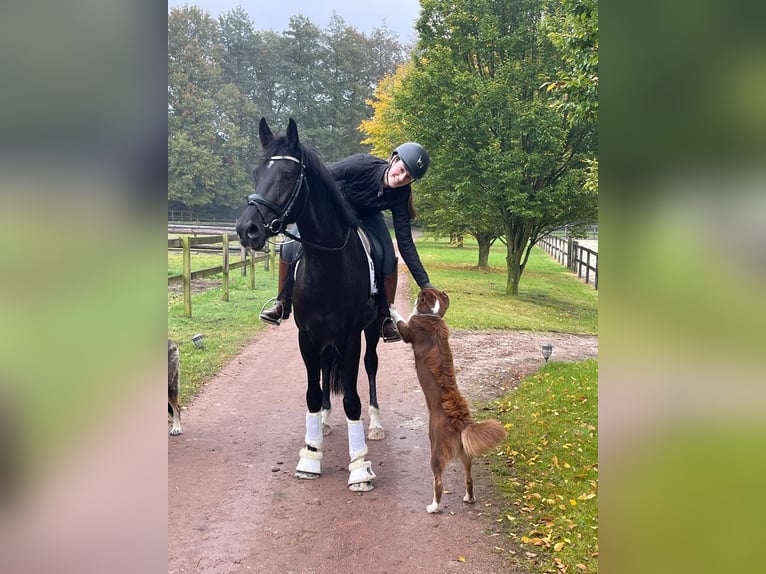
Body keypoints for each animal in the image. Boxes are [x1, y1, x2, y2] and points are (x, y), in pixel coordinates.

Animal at [237, 119, 384, 492]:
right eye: (257, 171)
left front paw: (359, 467)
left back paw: (375, 424)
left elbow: (353, 398)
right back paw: (327, 421)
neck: (327, 264)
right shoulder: (307, 336)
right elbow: (313, 393)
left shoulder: (351, 337)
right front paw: (311, 455)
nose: (247, 229)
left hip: (370, 333)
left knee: (371, 368)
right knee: (326, 373)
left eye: (289, 174)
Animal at [390, 290, 510, 516]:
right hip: (466, 455)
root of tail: (461, 421)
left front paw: (391, 307)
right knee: (469, 480)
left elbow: (401, 319)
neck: (433, 315)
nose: (420, 290)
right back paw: (469, 498)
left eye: (421, 295)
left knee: (438, 483)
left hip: (435, 450)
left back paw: (433, 507)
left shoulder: (408, 331)